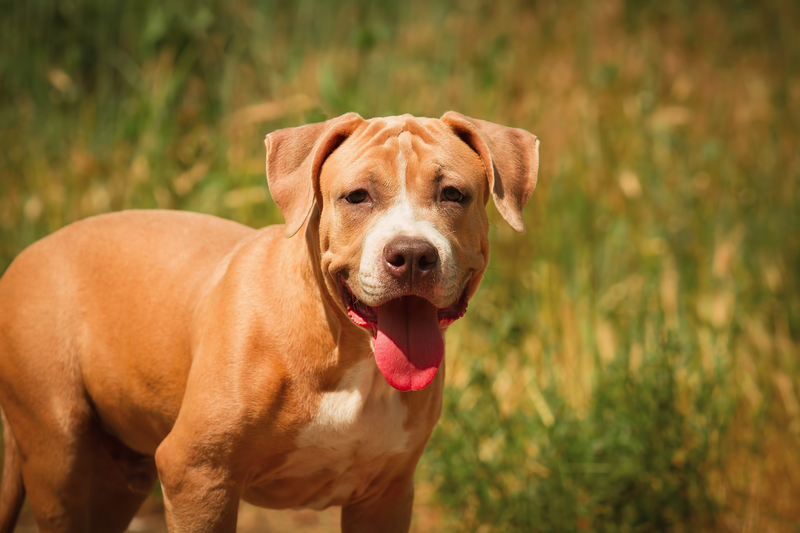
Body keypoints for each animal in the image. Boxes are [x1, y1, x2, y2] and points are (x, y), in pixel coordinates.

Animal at [0, 110, 540, 528]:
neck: (346, 349)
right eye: (357, 196)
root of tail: (28, 252)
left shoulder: (385, 495)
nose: (410, 255)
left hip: (115, 476)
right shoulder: (196, 473)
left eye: (453, 194)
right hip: (59, 454)